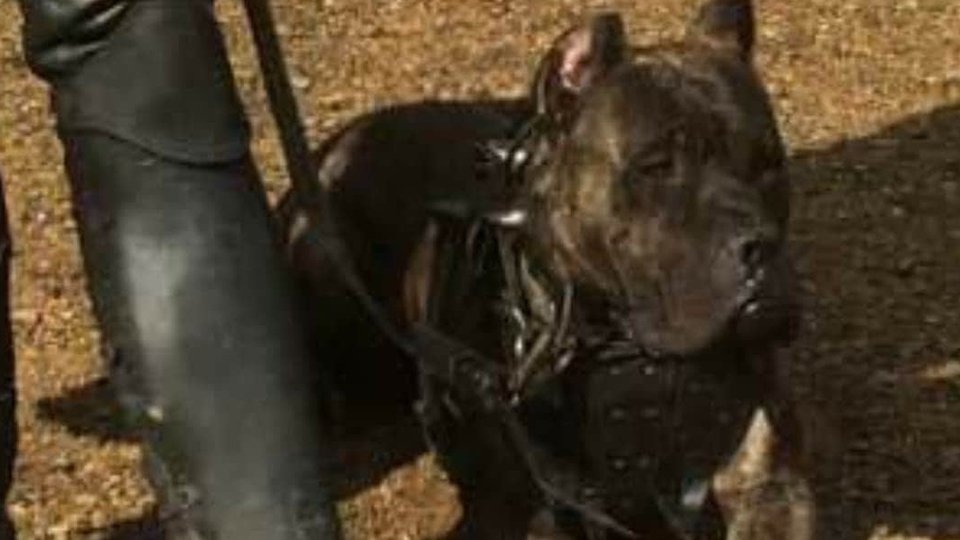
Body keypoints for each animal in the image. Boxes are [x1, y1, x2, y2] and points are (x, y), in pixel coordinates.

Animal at [280, 2, 816, 536]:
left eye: (769, 162)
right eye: (656, 165)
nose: (760, 246)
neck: (625, 347)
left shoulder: (772, 487)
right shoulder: (527, 504)